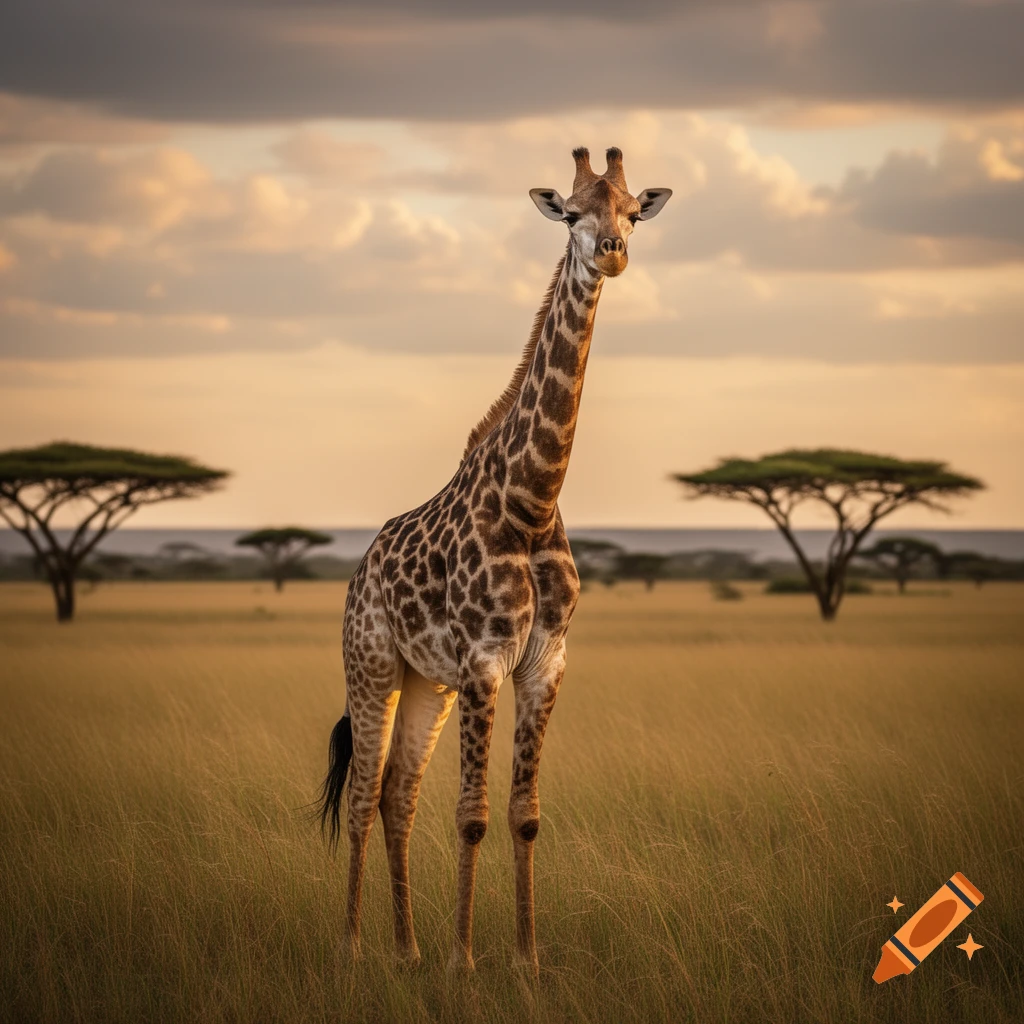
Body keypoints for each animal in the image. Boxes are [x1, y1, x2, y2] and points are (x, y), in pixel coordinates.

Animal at [318, 146, 671, 974]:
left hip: (428, 683)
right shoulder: (483, 662)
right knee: (365, 793)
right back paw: (354, 947)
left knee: (397, 794)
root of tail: (359, 570)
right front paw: (465, 962)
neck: (531, 502)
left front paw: (526, 960)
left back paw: (406, 949)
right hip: (373, 666)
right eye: (571, 213)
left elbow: (524, 814)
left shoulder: (544, 663)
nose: (613, 251)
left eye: (632, 211)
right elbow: (473, 814)